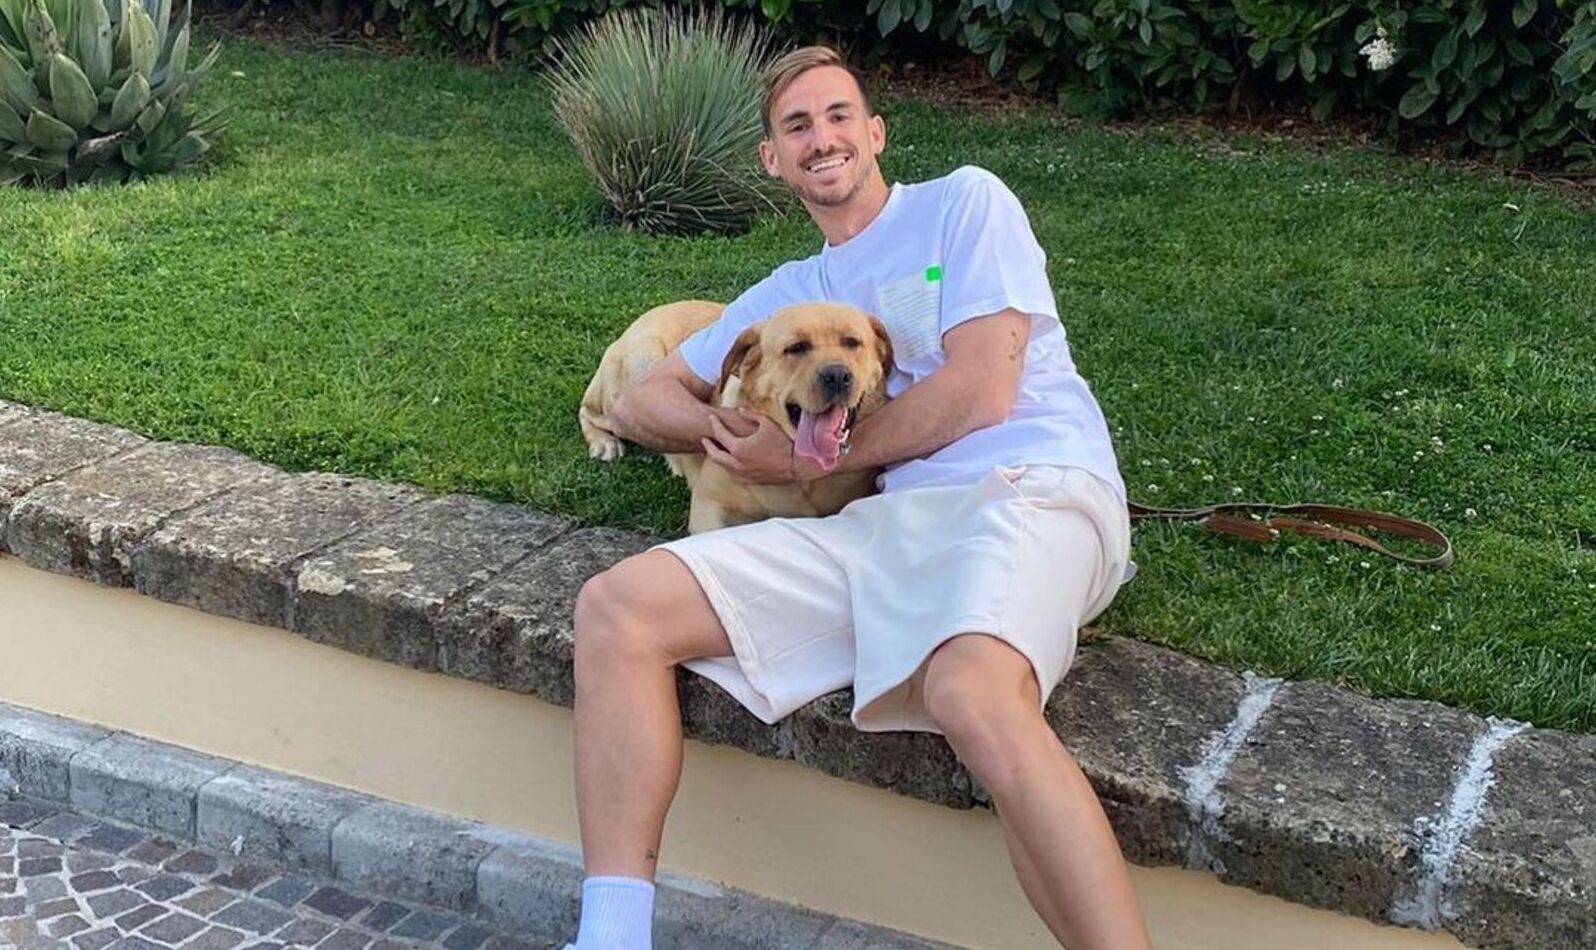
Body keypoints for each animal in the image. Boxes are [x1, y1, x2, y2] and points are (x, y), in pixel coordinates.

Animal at [580, 301, 893, 530]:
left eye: (852, 342)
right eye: (796, 347)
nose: (837, 376)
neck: (803, 481)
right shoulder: (709, 503)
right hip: (642, 364)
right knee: (591, 412)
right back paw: (606, 443)